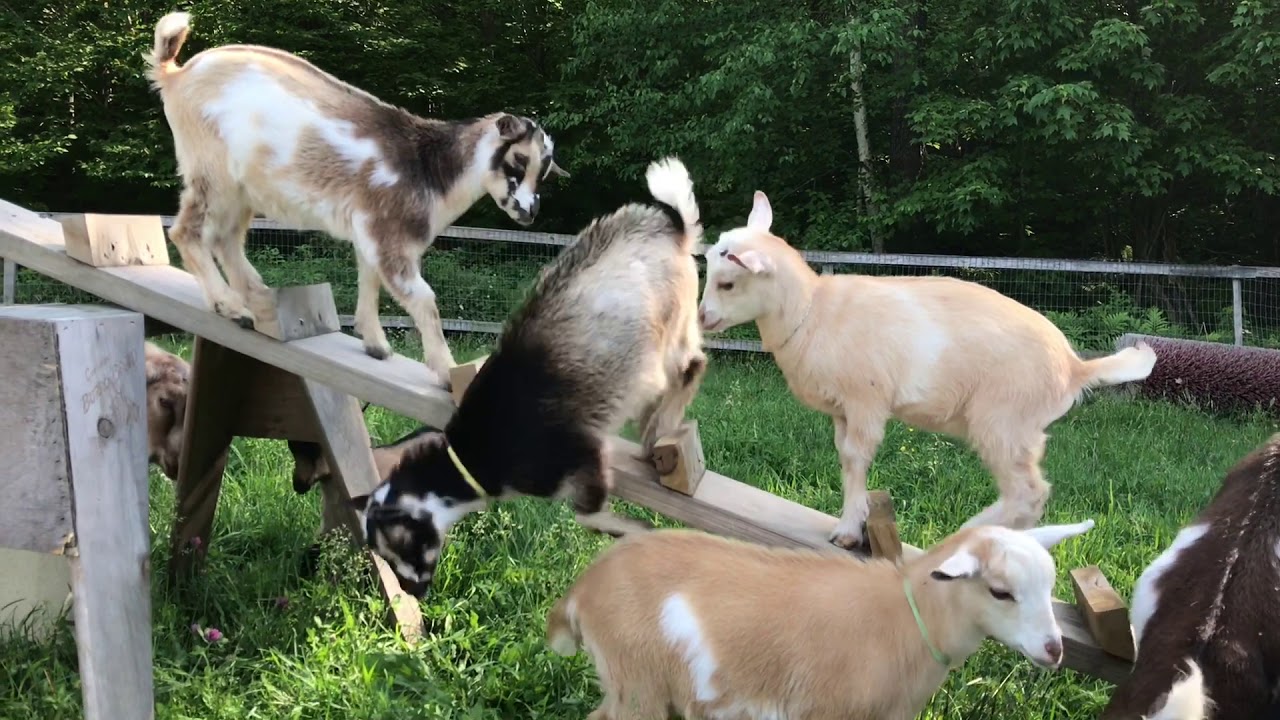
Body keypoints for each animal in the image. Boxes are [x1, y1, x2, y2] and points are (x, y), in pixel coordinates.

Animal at [144, 11, 568, 388]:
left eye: (545, 172)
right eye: (518, 160)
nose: (529, 211)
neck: (429, 168)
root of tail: (175, 75)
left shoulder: (370, 228)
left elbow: (368, 276)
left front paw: (376, 345)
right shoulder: (390, 234)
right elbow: (423, 298)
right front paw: (447, 372)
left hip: (241, 188)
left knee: (225, 238)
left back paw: (255, 296)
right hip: (211, 169)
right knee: (187, 231)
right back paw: (231, 306)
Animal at [347, 157, 708, 598]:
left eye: (400, 546)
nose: (412, 591)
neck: (474, 454)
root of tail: (673, 227)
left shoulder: (577, 453)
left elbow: (587, 516)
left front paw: (634, 529)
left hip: (671, 328)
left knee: (692, 365)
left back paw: (658, 427)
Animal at [546, 519, 1095, 720]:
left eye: (1049, 584)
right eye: (1000, 591)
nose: (1054, 650)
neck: (907, 618)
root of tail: (582, 591)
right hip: (636, 682)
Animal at [695, 190, 1158, 551]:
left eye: (728, 283)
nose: (702, 317)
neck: (812, 312)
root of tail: (1075, 367)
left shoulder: (866, 400)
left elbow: (856, 457)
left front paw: (847, 532)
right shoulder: (843, 410)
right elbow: (845, 459)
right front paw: (853, 518)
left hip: (1003, 421)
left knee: (1029, 492)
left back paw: (967, 535)